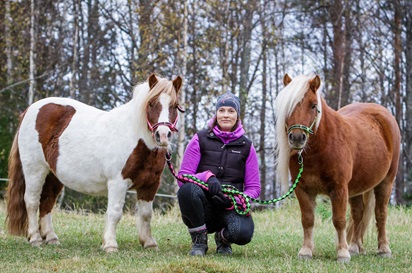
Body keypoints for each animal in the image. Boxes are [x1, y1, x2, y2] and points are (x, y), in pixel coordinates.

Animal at [6, 73, 183, 252]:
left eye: (175, 105)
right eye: (151, 103)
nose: (163, 135)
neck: (137, 139)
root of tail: (29, 110)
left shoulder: (150, 185)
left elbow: (146, 214)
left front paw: (149, 243)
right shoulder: (118, 182)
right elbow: (114, 212)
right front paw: (110, 245)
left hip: (53, 175)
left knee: (47, 201)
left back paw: (51, 237)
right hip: (35, 170)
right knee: (32, 201)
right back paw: (35, 238)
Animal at [276, 73, 400, 260]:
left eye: (313, 105)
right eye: (288, 106)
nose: (297, 138)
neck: (321, 148)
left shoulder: (339, 188)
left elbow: (339, 220)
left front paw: (342, 253)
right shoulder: (302, 189)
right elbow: (307, 219)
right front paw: (306, 251)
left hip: (386, 182)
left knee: (381, 213)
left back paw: (384, 249)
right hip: (358, 187)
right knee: (358, 213)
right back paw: (354, 247)